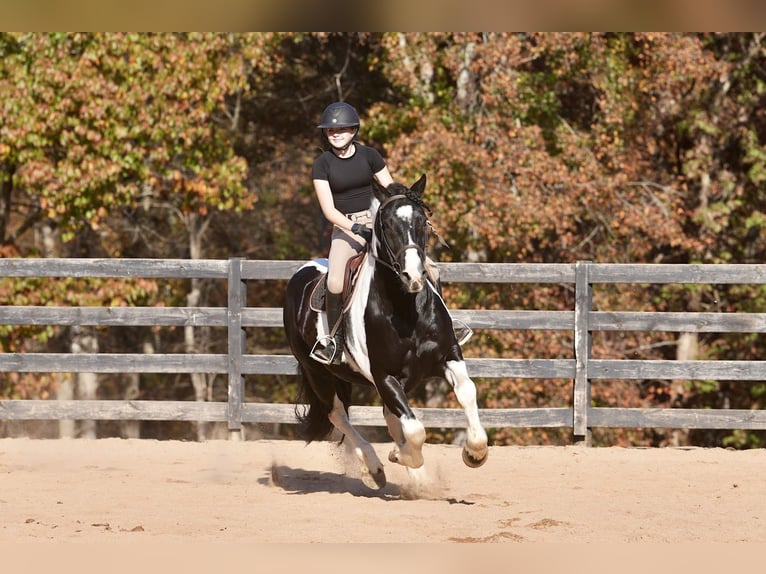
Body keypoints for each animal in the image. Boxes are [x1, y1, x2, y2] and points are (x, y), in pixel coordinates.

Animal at [283, 174, 488, 489]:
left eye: (421, 221)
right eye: (388, 225)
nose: (413, 276)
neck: (405, 310)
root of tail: (299, 275)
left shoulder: (448, 355)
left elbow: (466, 391)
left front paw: (475, 453)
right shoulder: (383, 376)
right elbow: (415, 429)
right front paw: (399, 456)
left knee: (387, 417)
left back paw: (416, 479)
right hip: (317, 373)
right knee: (338, 415)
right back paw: (375, 469)